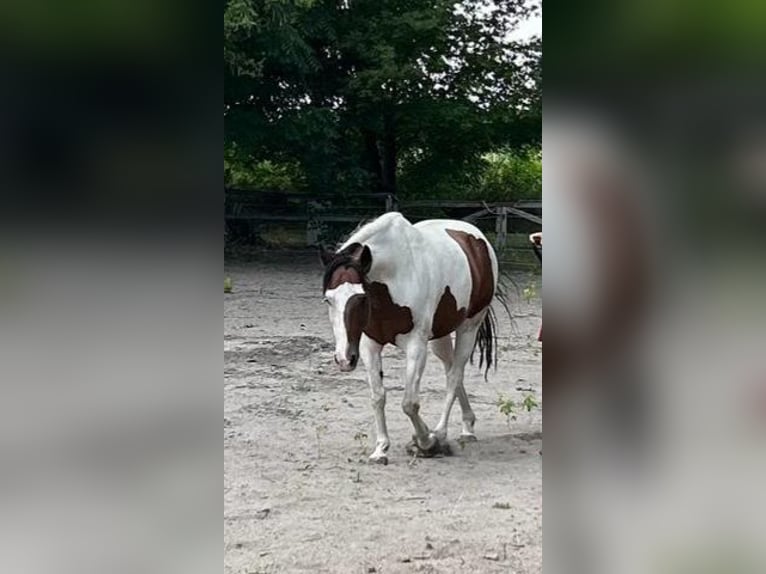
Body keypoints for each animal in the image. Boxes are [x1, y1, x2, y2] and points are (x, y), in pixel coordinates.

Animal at [320, 214, 500, 466]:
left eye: (362, 298)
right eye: (328, 300)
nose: (344, 359)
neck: (393, 277)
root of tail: (476, 238)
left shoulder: (416, 345)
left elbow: (409, 403)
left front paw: (426, 442)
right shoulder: (369, 345)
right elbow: (378, 396)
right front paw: (380, 449)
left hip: (468, 328)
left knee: (454, 376)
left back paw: (441, 433)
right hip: (440, 337)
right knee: (451, 370)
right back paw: (467, 425)